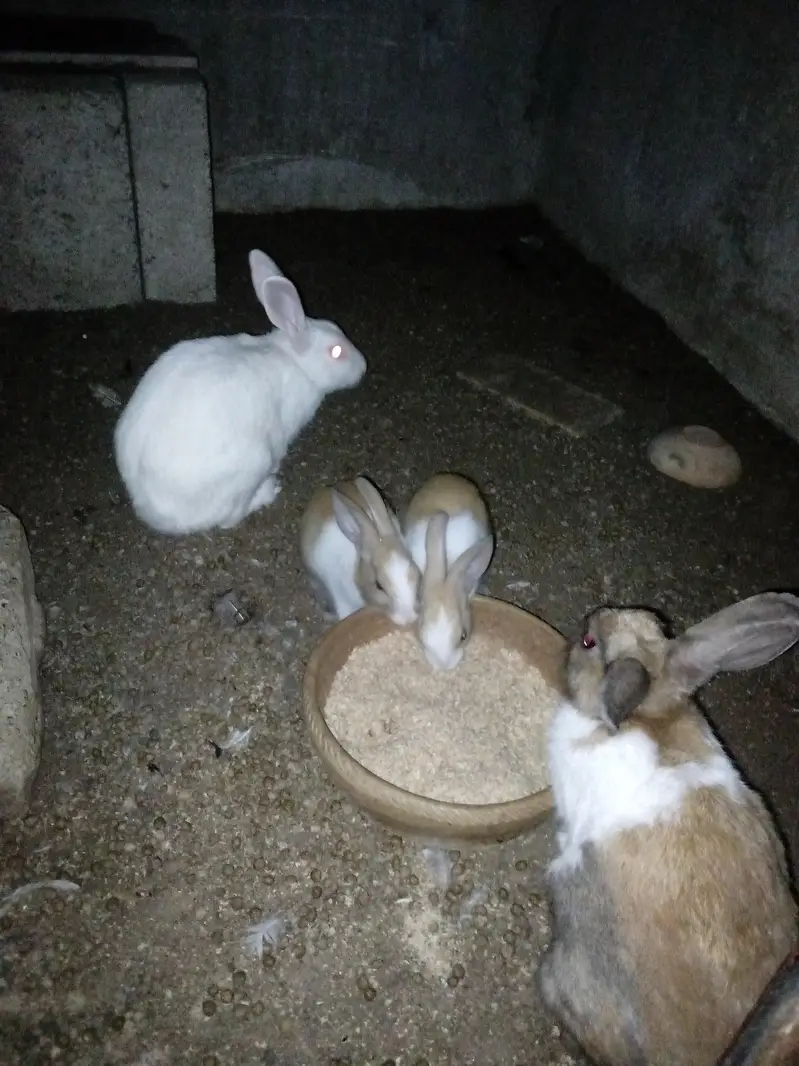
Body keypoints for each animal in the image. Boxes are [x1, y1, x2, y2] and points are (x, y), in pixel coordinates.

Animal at [113, 249, 367, 535]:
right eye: (336, 352)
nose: (363, 366)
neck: (295, 360)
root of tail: (155, 512)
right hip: (253, 463)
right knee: (229, 519)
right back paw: (268, 490)